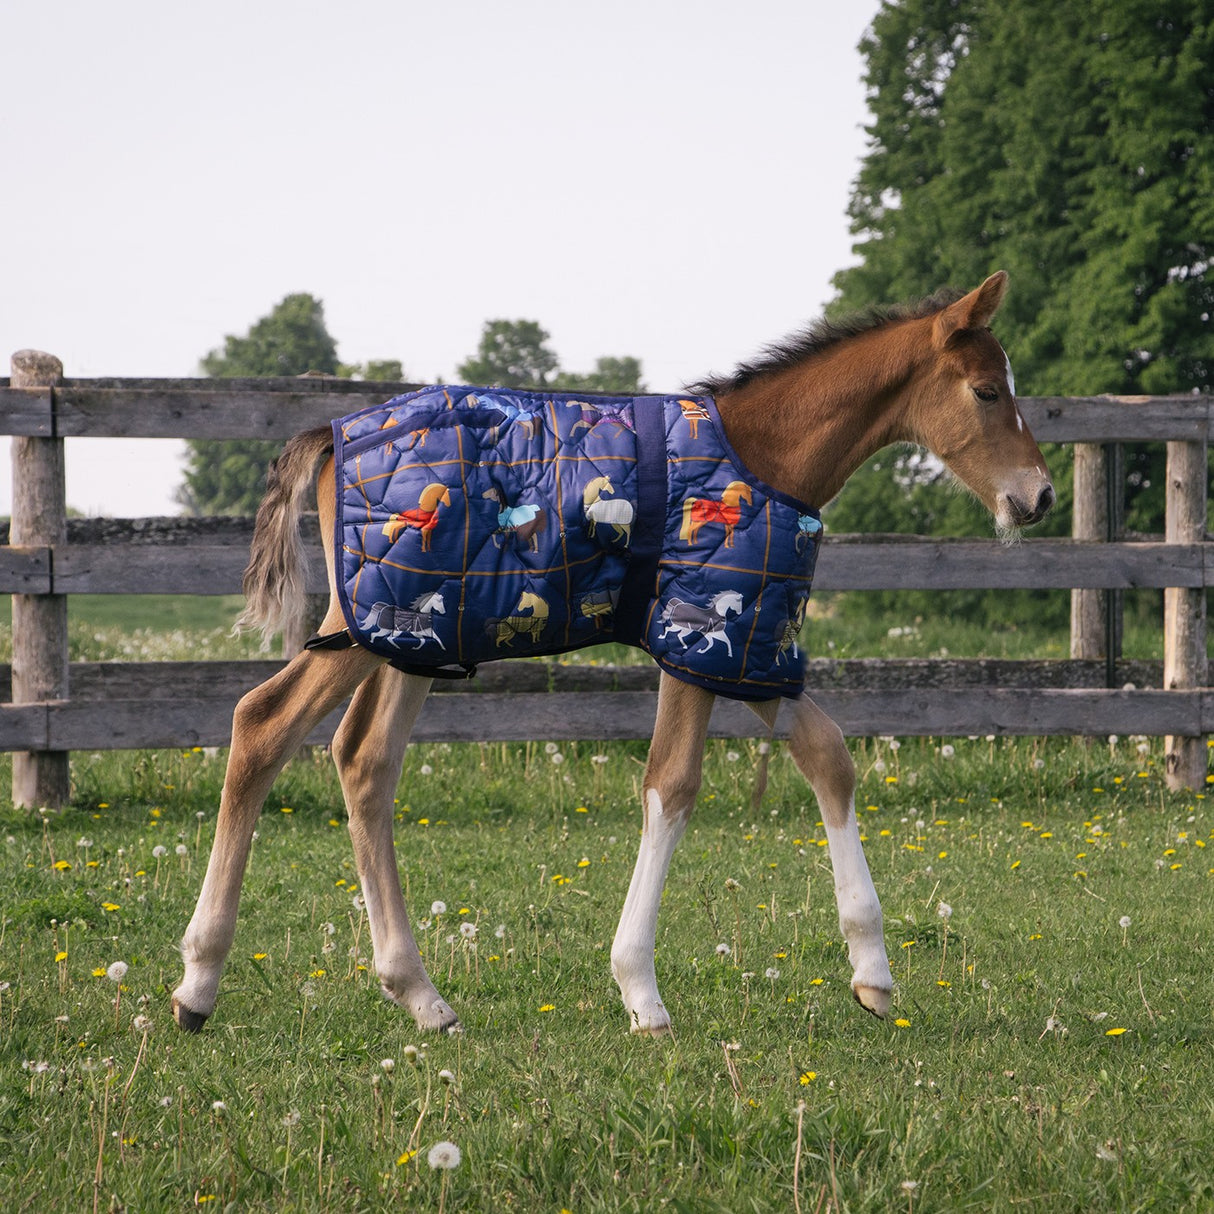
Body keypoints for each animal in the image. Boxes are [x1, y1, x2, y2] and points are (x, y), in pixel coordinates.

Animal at [171, 273, 1053, 1038]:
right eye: (987, 391)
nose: (1039, 497)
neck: (763, 457)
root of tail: (329, 435)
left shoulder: (752, 649)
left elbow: (830, 758)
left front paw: (872, 974)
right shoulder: (691, 637)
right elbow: (673, 784)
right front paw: (641, 992)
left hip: (415, 638)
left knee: (363, 760)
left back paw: (419, 993)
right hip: (365, 622)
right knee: (262, 723)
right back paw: (198, 983)